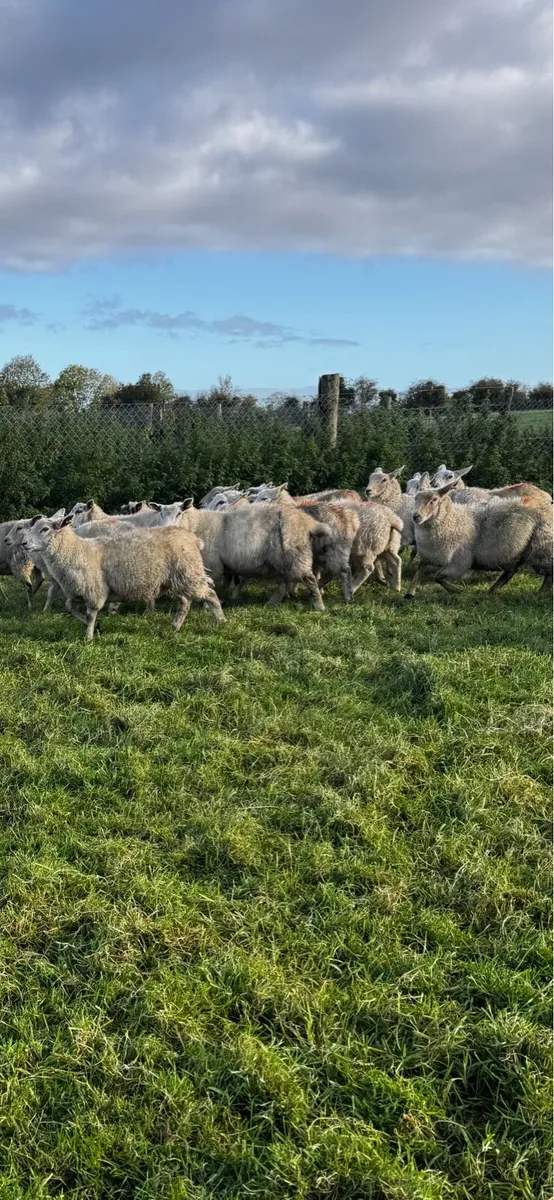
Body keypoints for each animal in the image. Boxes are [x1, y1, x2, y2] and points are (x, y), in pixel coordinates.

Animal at [21, 517, 225, 640]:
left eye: (45, 529)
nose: (23, 543)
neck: (77, 551)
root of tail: (192, 538)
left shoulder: (94, 591)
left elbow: (90, 614)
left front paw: (88, 636)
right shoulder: (76, 592)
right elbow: (69, 607)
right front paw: (95, 627)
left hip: (188, 573)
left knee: (210, 594)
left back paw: (221, 622)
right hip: (173, 581)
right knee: (185, 602)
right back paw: (175, 626)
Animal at [158, 502, 334, 610]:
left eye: (179, 513)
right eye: (160, 513)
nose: (165, 529)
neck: (196, 525)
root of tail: (308, 522)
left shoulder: (213, 565)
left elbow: (209, 587)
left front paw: (207, 606)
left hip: (296, 556)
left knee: (310, 580)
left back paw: (319, 606)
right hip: (286, 560)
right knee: (285, 582)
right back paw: (271, 603)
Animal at [405, 486, 553, 598]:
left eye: (434, 500)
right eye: (415, 499)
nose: (416, 517)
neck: (453, 519)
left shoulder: (460, 563)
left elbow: (437, 577)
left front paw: (458, 590)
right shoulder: (428, 555)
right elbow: (421, 571)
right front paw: (410, 593)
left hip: (542, 548)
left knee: (548, 573)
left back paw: (541, 593)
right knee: (511, 571)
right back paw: (492, 591)